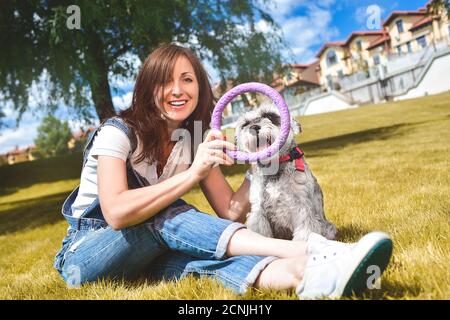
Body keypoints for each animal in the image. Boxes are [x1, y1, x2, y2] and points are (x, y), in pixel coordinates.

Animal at [236, 104, 338, 241]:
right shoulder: (258, 212)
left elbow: (305, 232)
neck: (274, 171)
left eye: (270, 116)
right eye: (245, 123)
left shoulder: (301, 208)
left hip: (329, 228)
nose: (253, 127)